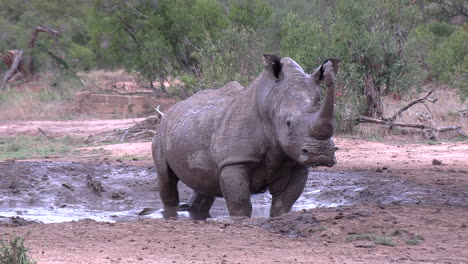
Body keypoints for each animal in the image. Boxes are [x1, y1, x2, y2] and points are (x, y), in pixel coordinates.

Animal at [154, 54, 340, 220]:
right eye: (288, 123)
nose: (321, 154)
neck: (269, 105)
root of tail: (173, 108)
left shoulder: (297, 163)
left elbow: (283, 204)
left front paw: (280, 217)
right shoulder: (234, 161)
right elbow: (240, 203)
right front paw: (239, 220)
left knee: (204, 185)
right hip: (162, 131)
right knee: (166, 179)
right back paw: (171, 216)